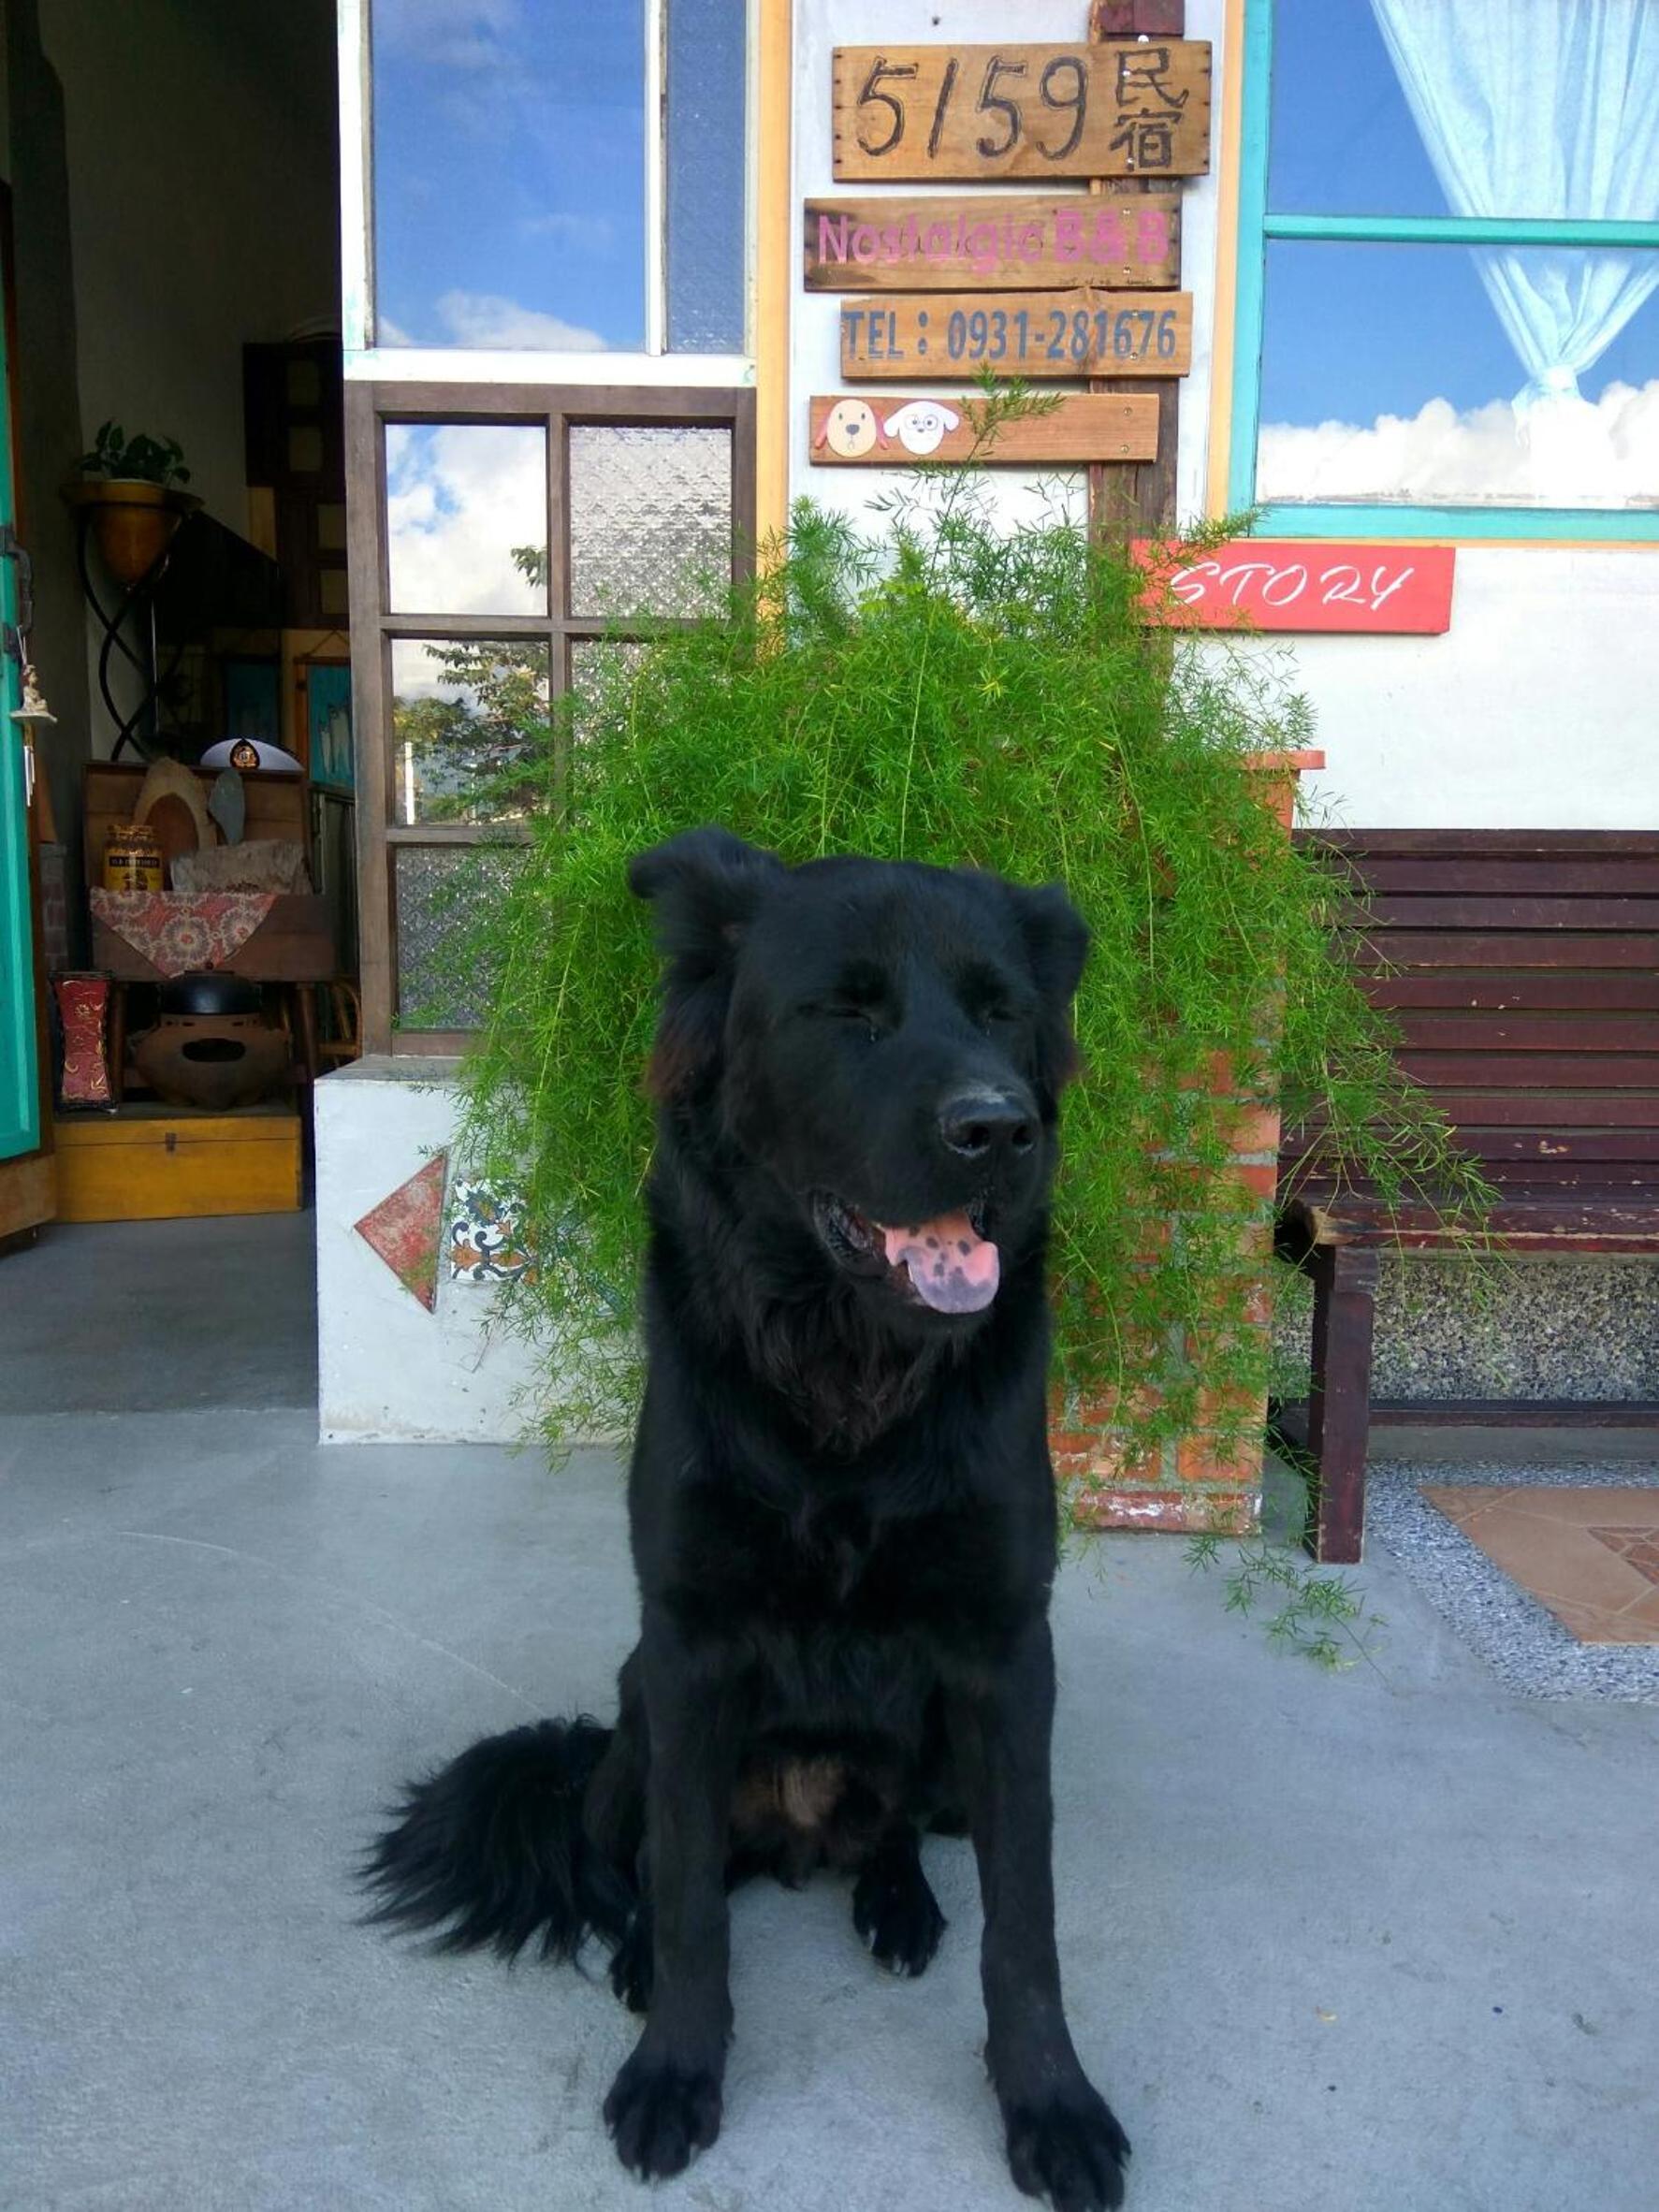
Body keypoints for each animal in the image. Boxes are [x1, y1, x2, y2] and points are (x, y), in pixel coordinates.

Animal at [363, 828, 1130, 2209]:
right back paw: (642, 1959)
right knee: (657, 1872)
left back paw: (896, 1903)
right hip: (634, 1716)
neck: (848, 1376)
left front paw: (1052, 2102)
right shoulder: (689, 1645)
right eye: (848, 1012)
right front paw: (675, 2068)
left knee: (897, 1834)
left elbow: (1027, 1920)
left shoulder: (1004, 1657)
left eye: (1003, 1013)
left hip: (935, 1751)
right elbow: (685, 1903)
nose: (1000, 1127)